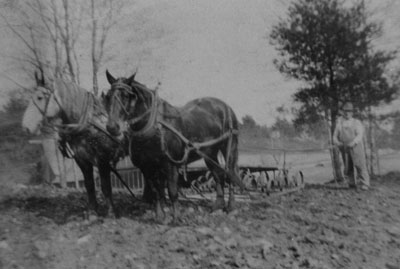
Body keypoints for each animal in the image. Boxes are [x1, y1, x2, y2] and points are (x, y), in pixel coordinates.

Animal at [21, 71, 126, 218]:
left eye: (40, 97)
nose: (25, 127)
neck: (89, 124)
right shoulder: (82, 160)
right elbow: (89, 185)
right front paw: (92, 211)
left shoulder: (103, 160)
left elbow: (105, 186)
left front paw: (111, 213)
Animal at [103, 70, 244, 219]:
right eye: (108, 96)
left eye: (126, 96)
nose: (112, 127)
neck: (154, 126)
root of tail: (225, 106)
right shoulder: (146, 167)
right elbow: (155, 191)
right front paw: (160, 216)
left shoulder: (170, 164)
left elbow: (172, 191)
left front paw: (177, 217)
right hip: (209, 153)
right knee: (218, 174)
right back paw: (218, 205)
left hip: (229, 145)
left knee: (229, 172)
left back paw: (231, 206)